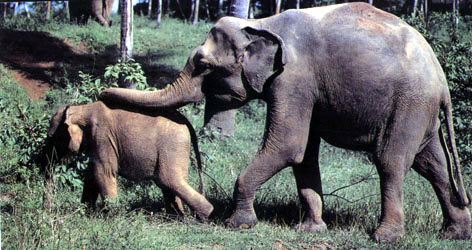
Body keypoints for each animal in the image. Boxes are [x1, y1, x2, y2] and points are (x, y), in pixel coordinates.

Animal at [45, 100, 212, 220]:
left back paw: (204, 216)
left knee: (169, 180)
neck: (81, 109)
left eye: (51, 138)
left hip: (172, 145)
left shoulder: (102, 137)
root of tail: (187, 123)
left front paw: (110, 217)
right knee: (169, 183)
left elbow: (103, 173)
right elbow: (91, 175)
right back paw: (176, 218)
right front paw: (87, 213)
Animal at [99, 2, 468, 242]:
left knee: (391, 162)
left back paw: (385, 237)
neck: (262, 22)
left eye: (203, 65)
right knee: (433, 164)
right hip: (421, 112)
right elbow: (304, 155)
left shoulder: (294, 79)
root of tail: (441, 79)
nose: (102, 94)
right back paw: (455, 233)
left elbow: (288, 145)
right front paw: (311, 230)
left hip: (408, 104)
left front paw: (238, 224)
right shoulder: (307, 90)